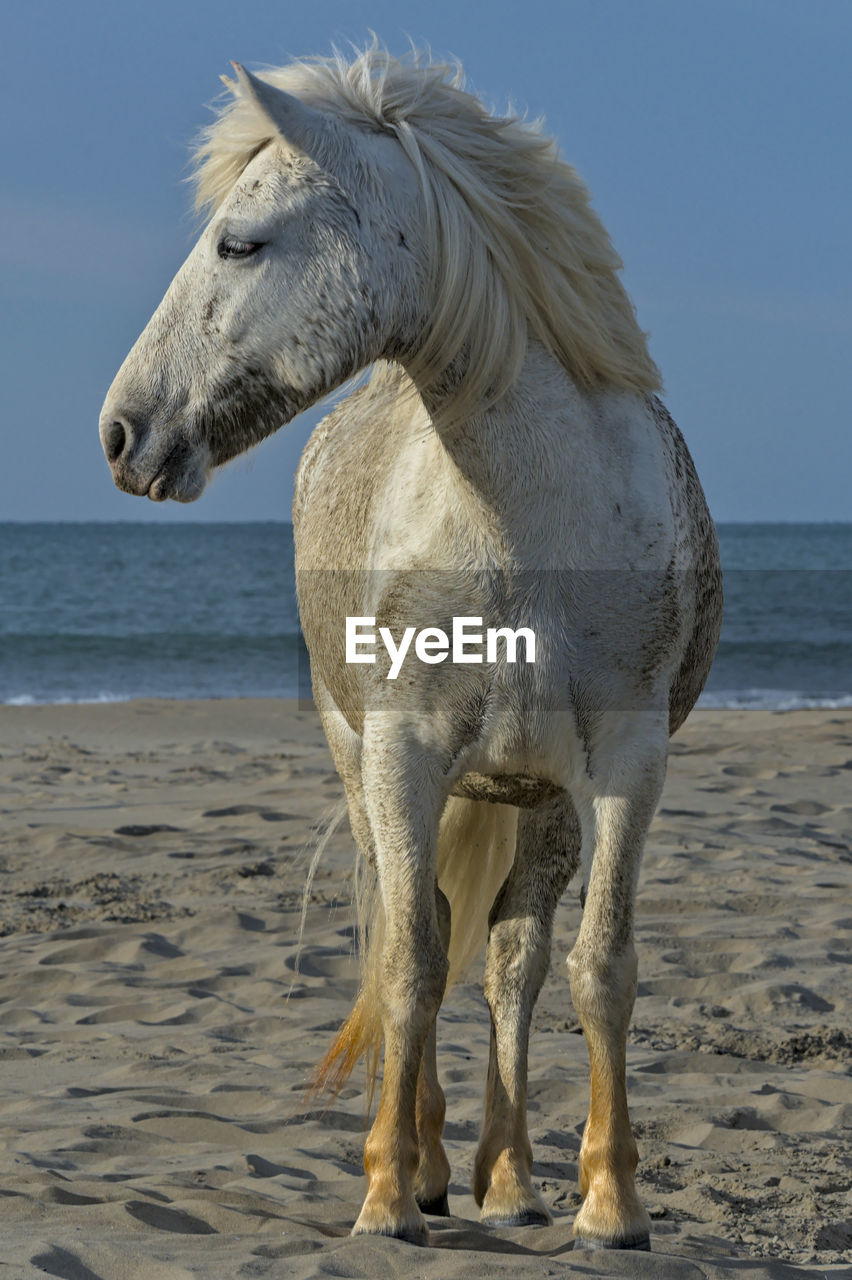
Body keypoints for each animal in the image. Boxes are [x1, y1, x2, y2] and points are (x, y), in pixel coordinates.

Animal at [102, 47, 721, 1249]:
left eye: (240, 243)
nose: (119, 431)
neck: (530, 522)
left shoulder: (628, 765)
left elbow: (600, 968)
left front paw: (612, 1202)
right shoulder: (400, 756)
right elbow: (408, 961)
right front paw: (389, 1194)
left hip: (540, 798)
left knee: (514, 962)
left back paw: (511, 1178)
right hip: (364, 768)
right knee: (419, 928)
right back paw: (434, 1167)